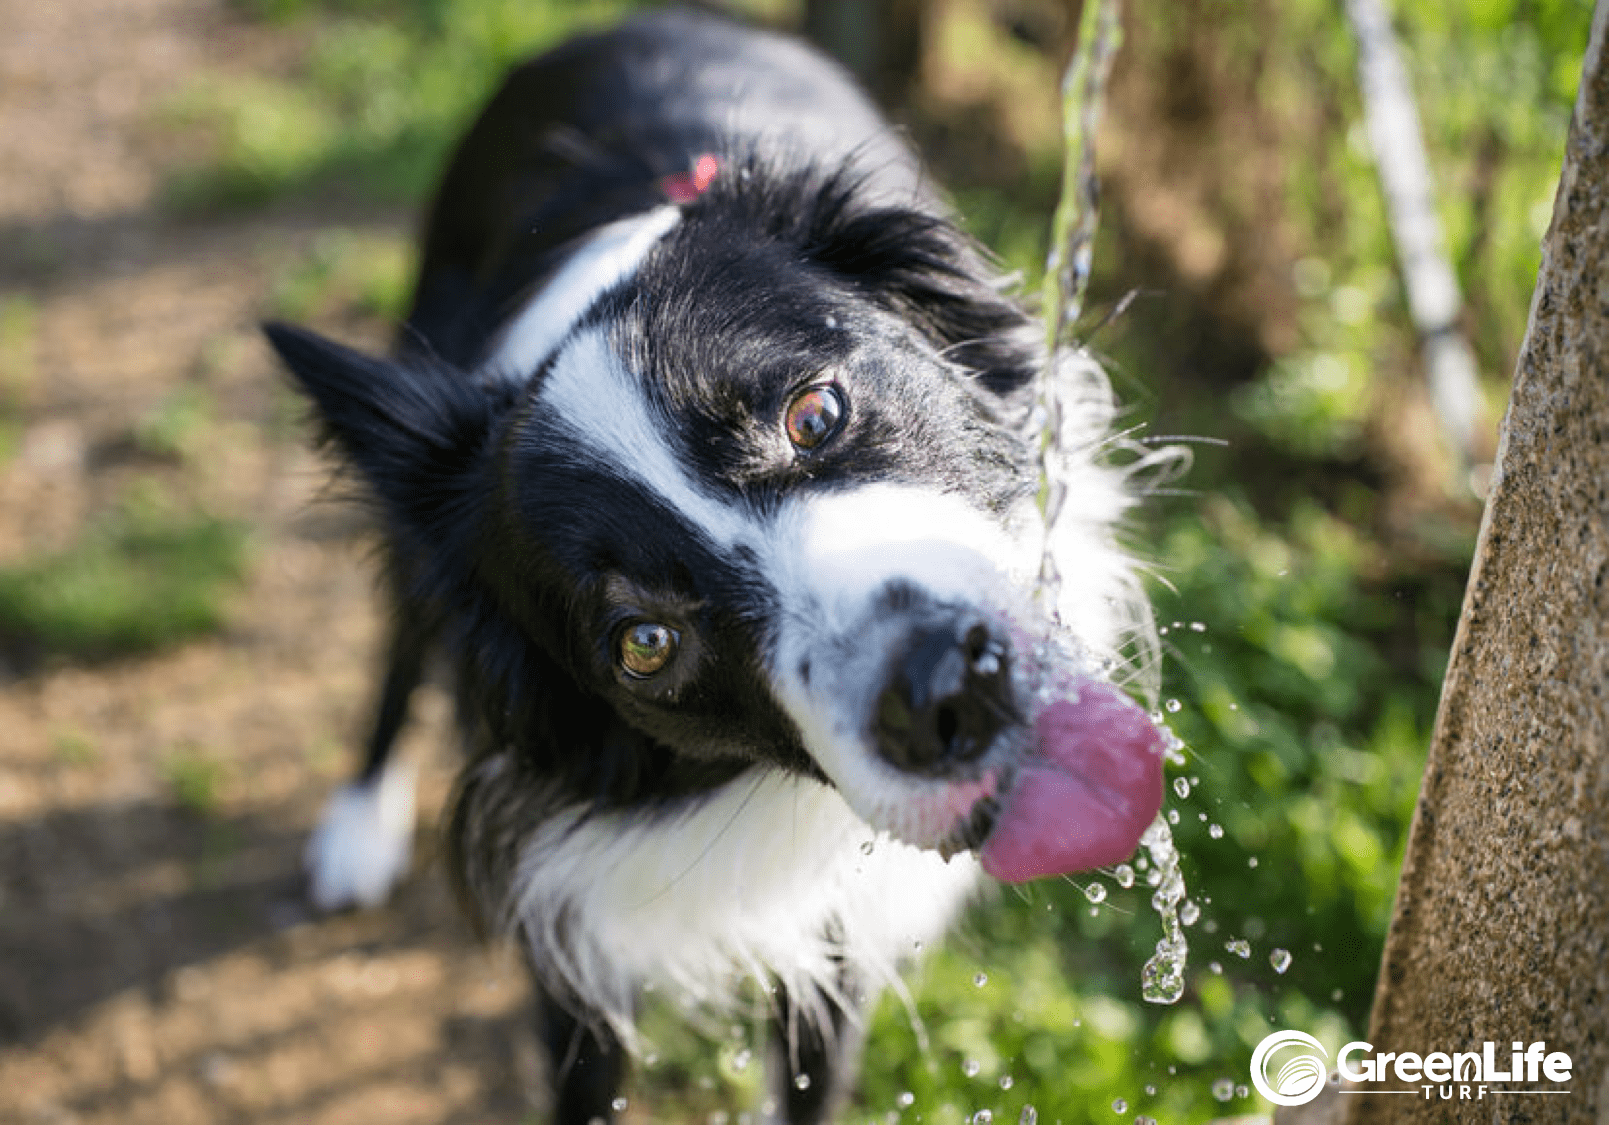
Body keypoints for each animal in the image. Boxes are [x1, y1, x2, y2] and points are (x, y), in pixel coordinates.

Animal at [270, 11, 1164, 1125]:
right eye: (644, 644)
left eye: (814, 412)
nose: (945, 693)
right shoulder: (572, 933)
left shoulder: (837, 939)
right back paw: (358, 823)